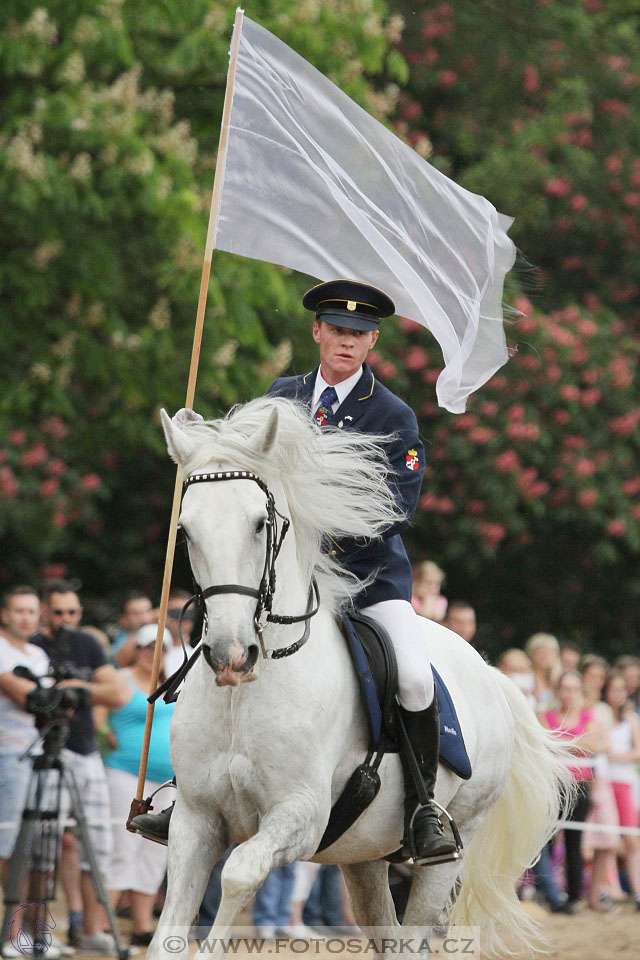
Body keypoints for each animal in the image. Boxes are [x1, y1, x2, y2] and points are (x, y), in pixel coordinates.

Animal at [151, 394, 576, 956]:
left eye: (260, 523)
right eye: (185, 530)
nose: (230, 655)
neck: (247, 696)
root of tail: (490, 672)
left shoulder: (299, 816)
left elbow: (239, 873)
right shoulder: (195, 821)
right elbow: (169, 929)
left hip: (450, 844)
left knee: (414, 930)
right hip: (362, 855)